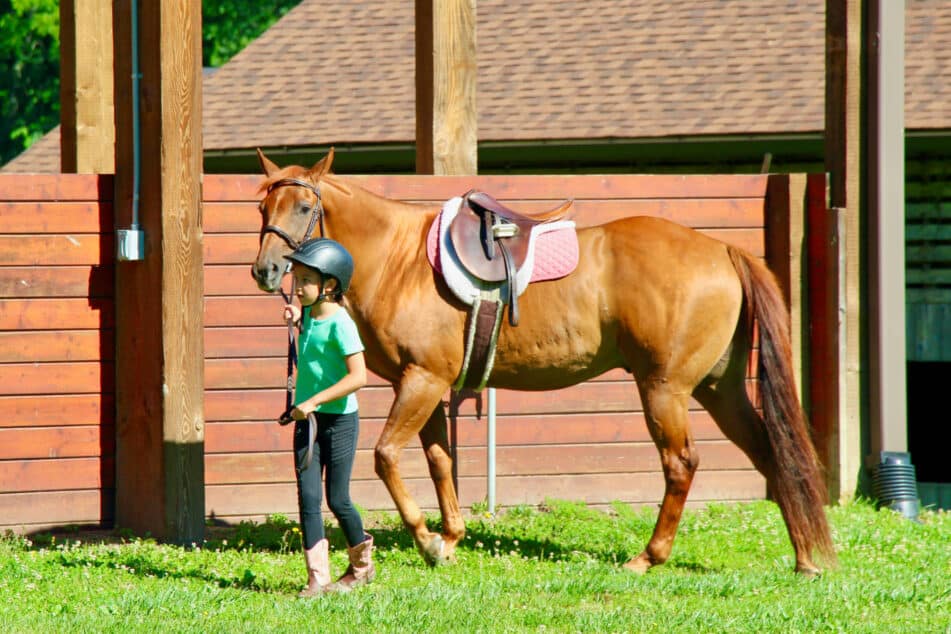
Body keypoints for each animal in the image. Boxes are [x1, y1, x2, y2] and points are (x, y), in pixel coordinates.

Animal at [251, 148, 832, 572]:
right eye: (262, 210)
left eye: (302, 208)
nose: (265, 269)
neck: (402, 260)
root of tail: (721, 250)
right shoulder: (426, 384)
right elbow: (441, 462)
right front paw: (451, 537)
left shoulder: (421, 382)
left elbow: (387, 456)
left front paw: (427, 541)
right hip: (718, 388)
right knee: (770, 453)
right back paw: (805, 558)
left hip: (665, 389)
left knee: (681, 464)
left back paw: (648, 557)